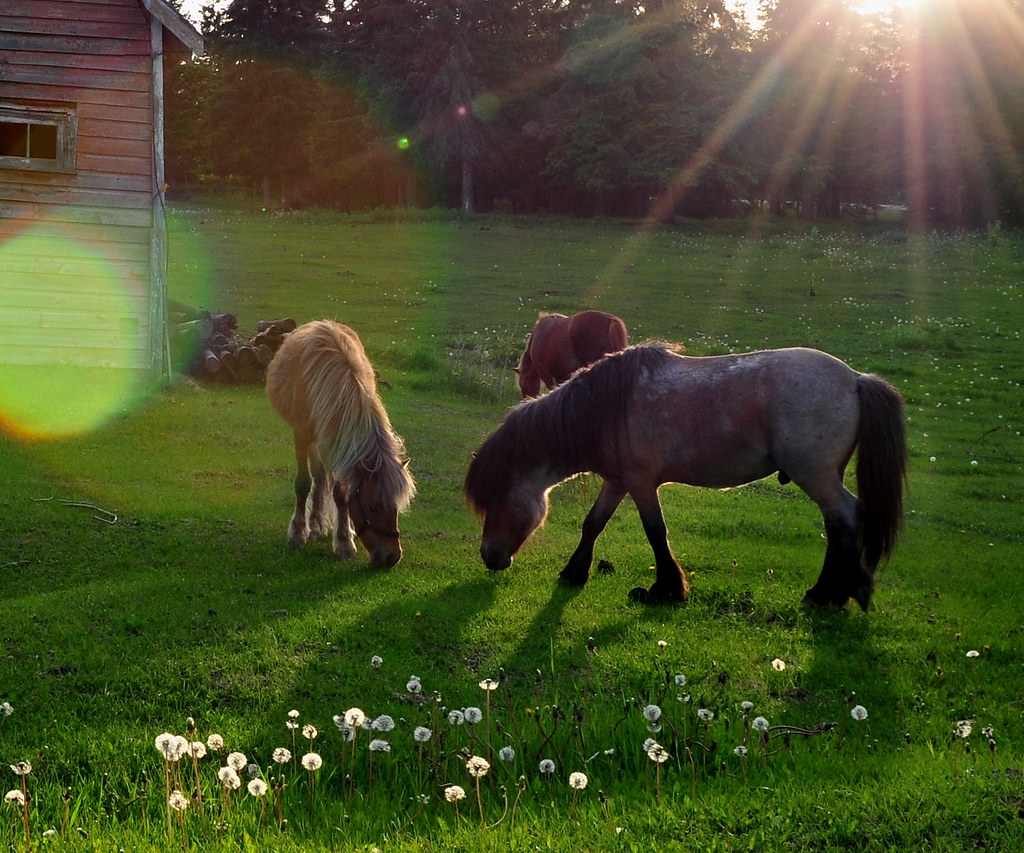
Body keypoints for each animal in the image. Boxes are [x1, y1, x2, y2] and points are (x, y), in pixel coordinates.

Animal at [265, 320, 415, 568]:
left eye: (395, 507)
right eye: (374, 507)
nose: (392, 557)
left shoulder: (338, 442)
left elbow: (341, 493)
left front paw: (344, 540)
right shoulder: (303, 434)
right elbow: (303, 483)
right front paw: (297, 533)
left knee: (321, 479)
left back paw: (318, 524)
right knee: (317, 478)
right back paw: (314, 525)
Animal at [465, 343, 907, 609]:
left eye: (497, 499)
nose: (489, 556)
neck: (605, 408)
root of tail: (856, 379)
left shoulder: (641, 483)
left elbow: (655, 531)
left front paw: (666, 589)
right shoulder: (618, 481)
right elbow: (593, 524)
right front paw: (574, 573)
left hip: (815, 475)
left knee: (845, 517)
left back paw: (830, 593)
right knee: (836, 524)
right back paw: (831, 593)